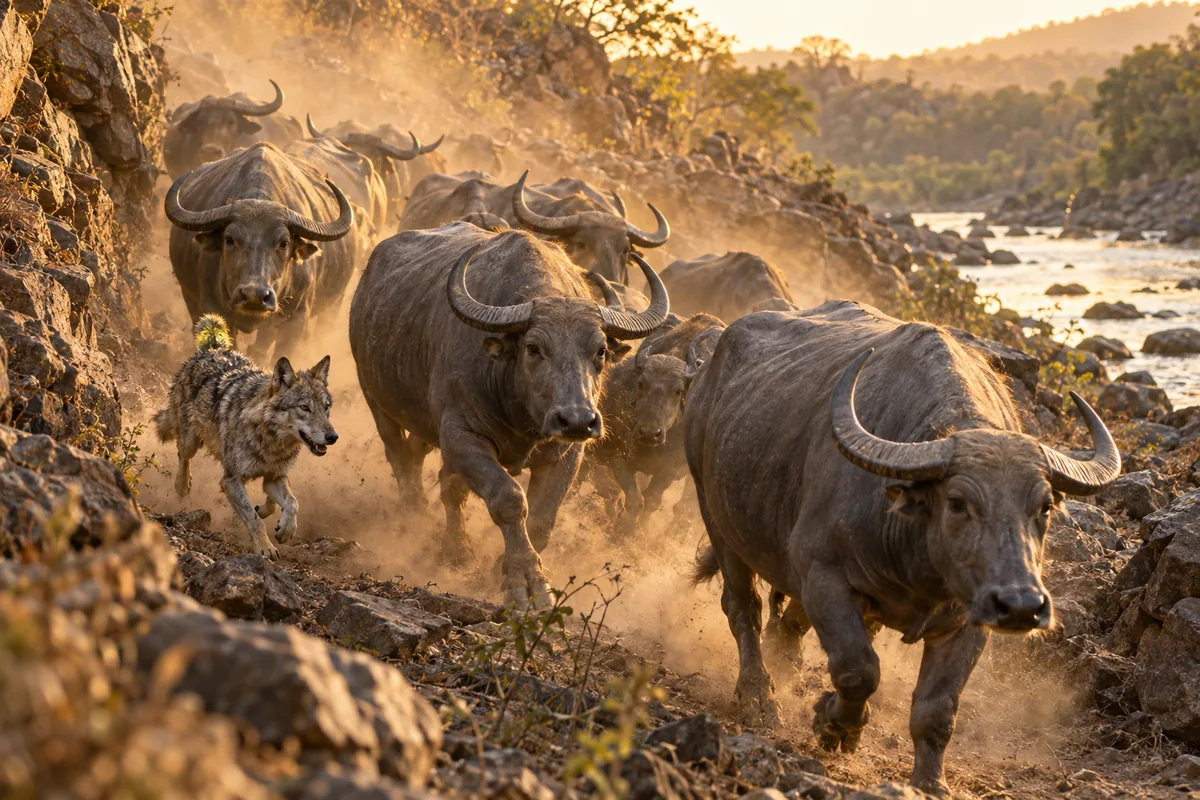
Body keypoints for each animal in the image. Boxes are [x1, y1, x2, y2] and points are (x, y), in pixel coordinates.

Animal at [155, 314, 338, 558]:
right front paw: (265, 548)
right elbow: (253, 518)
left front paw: (284, 528)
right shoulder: (231, 480)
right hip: (190, 441)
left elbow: (291, 502)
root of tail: (213, 348)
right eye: (304, 408)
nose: (333, 436)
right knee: (182, 455)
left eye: (326, 407)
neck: (271, 441)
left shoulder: (275, 476)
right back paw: (182, 485)